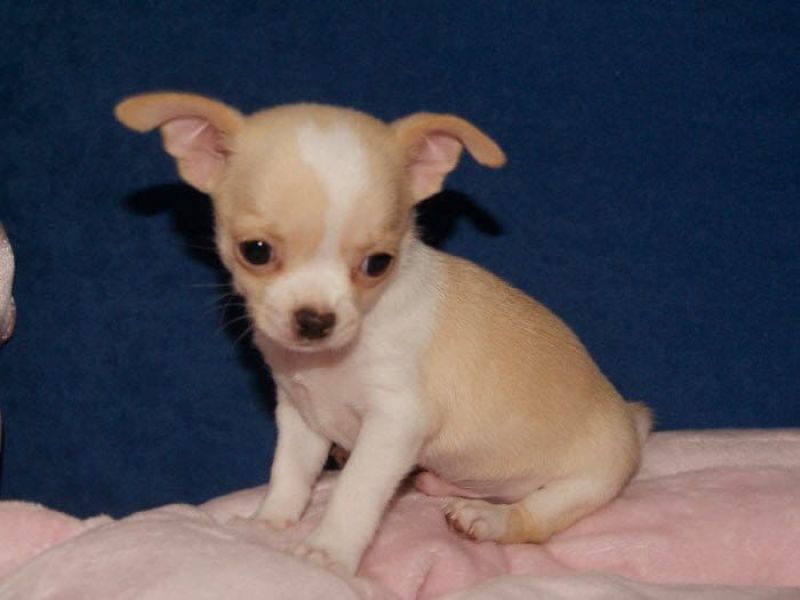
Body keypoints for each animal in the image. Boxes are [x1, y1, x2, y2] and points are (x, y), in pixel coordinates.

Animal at [115, 93, 651, 574]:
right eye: (256, 251)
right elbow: (289, 471)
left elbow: (355, 490)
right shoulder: (300, 415)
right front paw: (270, 521)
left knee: (534, 517)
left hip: (587, 481)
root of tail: (631, 418)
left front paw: (328, 551)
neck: (332, 359)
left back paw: (488, 518)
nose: (315, 320)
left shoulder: (394, 423)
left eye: (378, 263)